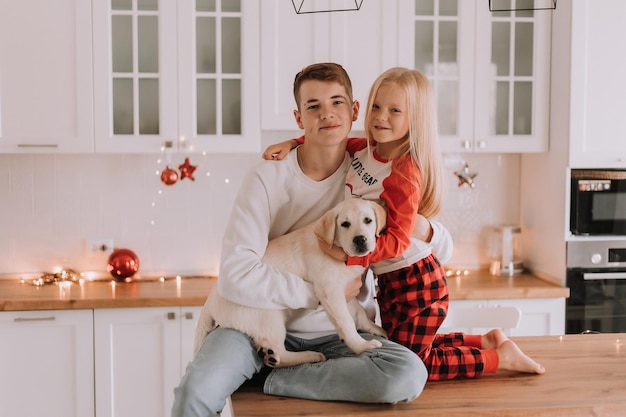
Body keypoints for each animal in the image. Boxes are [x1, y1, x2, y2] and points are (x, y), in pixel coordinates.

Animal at [195, 198, 388, 368]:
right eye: (345, 224)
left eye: (368, 220)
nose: (360, 239)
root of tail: (210, 302)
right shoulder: (330, 291)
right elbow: (346, 322)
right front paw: (361, 346)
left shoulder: (346, 291)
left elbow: (358, 312)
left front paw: (373, 328)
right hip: (269, 317)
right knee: (281, 354)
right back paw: (310, 356)